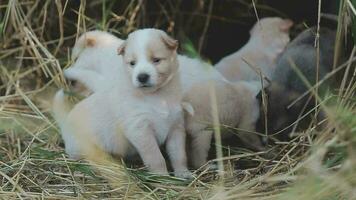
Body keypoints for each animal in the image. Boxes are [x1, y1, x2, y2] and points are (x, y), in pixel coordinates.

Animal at [51, 28, 192, 178]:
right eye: (132, 63)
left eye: (156, 60)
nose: (142, 77)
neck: (157, 96)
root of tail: (64, 124)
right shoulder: (140, 130)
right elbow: (156, 157)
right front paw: (161, 177)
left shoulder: (176, 127)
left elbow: (179, 155)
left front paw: (183, 173)